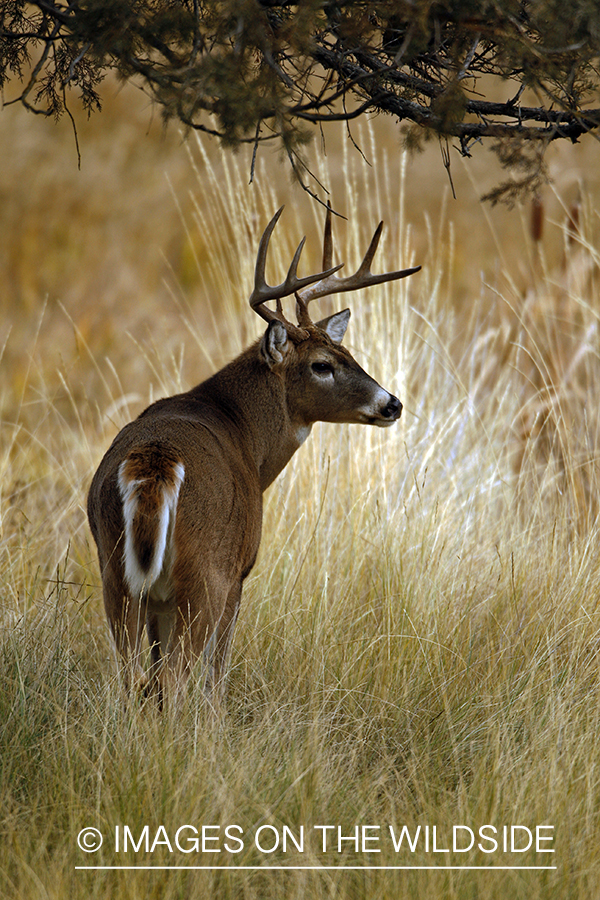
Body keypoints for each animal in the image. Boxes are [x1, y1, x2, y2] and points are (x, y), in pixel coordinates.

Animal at [86, 207, 420, 708]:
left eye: (348, 352)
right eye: (322, 365)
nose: (392, 404)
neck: (245, 435)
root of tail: (156, 462)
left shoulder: (154, 597)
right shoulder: (239, 573)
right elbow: (214, 677)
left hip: (116, 571)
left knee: (132, 678)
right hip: (204, 573)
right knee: (181, 679)